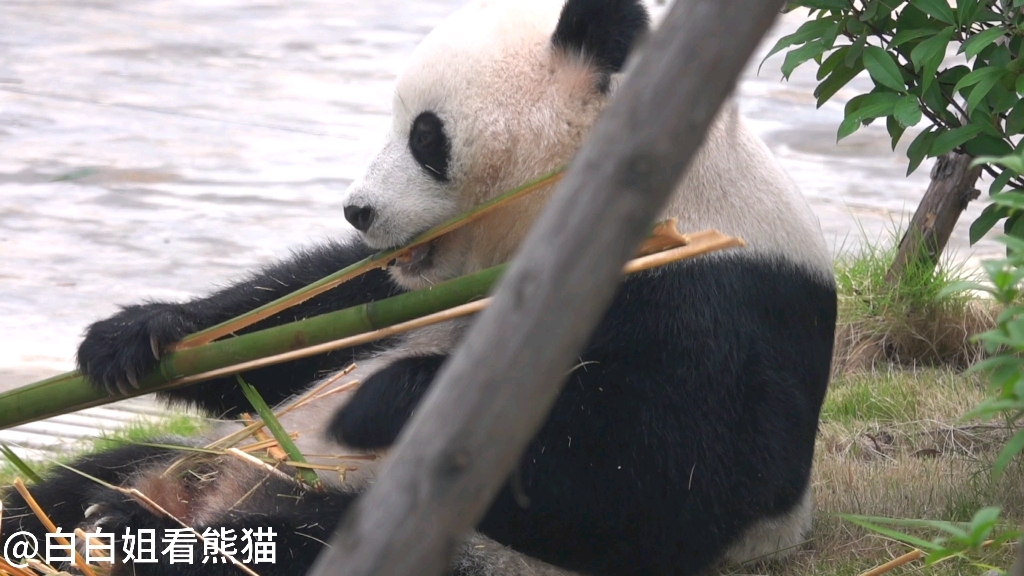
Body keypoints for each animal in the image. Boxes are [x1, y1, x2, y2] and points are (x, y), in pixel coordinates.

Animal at [0, 1, 835, 573]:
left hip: (436, 541)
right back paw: (82, 515)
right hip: (193, 456)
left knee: (291, 540)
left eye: (425, 136)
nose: (357, 209)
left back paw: (135, 535)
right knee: (68, 484)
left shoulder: (710, 292)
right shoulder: (429, 285)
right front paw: (137, 335)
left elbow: (658, 480)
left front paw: (389, 399)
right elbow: (313, 315)